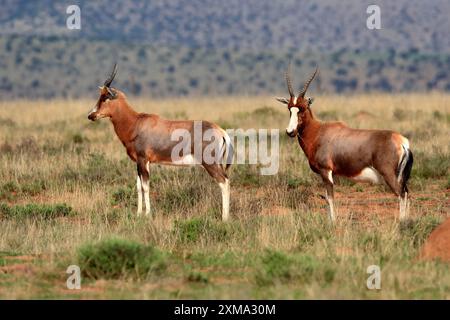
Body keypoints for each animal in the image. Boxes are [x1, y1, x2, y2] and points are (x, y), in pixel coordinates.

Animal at [89, 63, 236, 221]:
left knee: (224, 182)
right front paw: (138, 214)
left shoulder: (143, 160)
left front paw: (148, 214)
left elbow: (146, 186)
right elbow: (138, 187)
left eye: (105, 97)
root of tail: (220, 131)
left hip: (210, 164)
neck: (136, 123)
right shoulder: (140, 162)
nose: (91, 115)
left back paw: (224, 218)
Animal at [278, 65, 414, 222]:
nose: (290, 131)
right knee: (407, 193)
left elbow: (330, 197)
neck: (319, 131)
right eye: (290, 108)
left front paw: (332, 221)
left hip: (389, 175)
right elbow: (327, 197)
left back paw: (402, 221)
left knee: (401, 194)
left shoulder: (326, 172)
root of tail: (402, 142)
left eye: (303, 107)